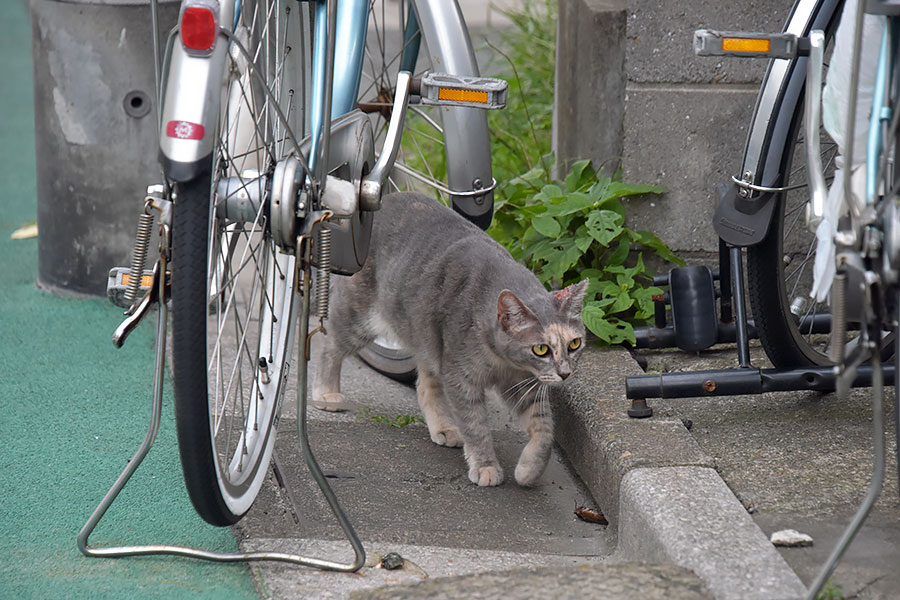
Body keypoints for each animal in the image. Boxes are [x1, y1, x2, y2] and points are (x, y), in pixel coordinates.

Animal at [312, 192, 592, 488]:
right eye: (541, 349)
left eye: (574, 344)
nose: (565, 373)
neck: (504, 362)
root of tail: (385, 198)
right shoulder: (461, 379)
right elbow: (476, 426)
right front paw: (486, 466)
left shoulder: (521, 384)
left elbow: (544, 428)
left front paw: (529, 470)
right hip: (360, 318)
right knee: (329, 345)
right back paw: (326, 393)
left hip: (428, 342)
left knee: (426, 386)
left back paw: (444, 427)